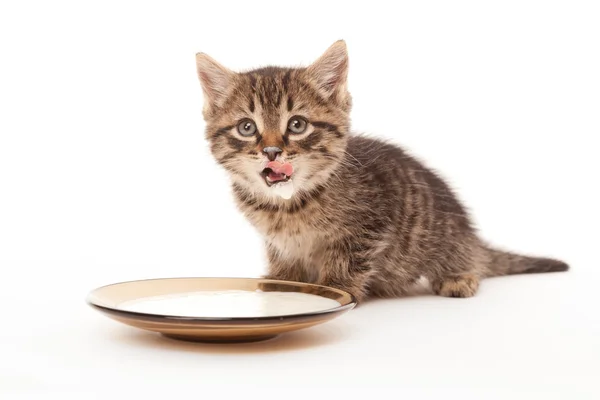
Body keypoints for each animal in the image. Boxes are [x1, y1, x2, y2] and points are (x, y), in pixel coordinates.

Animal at [196, 41, 568, 304]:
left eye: (297, 125)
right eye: (247, 127)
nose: (272, 151)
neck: (288, 204)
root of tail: (471, 238)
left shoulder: (370, 225)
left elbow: (346, 263)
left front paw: (335, 290)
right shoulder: (279, 243)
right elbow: (285, 265)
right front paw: (281, 284)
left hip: (445, 237)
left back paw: (460, 276)